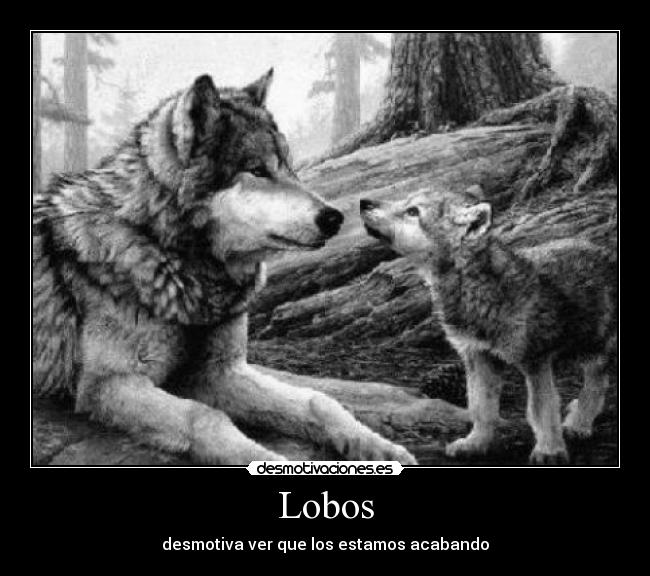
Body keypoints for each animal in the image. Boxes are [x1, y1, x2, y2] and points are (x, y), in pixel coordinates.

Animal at [32, 69, 416, 465]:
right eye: (257, 170)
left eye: (290, 168)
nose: (335, 217)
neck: (176, 262)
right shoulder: (107, 384)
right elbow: (204, 416)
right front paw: (271, 461)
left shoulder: (219, 372)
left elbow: (318, 401)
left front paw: (379, 446)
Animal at [360, 190, 616, 464]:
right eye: (405, 202)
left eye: (413, 211)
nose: (364, 202)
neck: (475, 287)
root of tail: (605, 249)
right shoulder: (477, 356)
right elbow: (481, 408)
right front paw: (476, 443)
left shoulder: (534, 361)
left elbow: (541, 410)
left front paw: (549, 450)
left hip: (595, 350)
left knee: (597, 386)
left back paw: (579, 425)